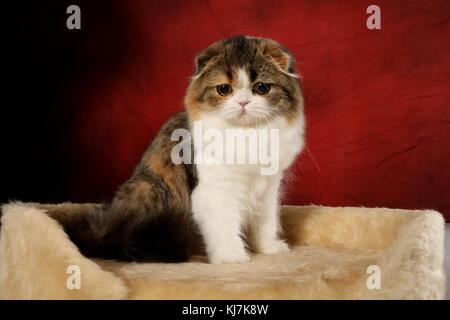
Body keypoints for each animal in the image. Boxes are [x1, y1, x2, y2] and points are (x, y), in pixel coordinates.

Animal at [48, 35, 306, 264]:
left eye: (261, 88)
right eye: (224, 89)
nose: (243, 102)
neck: (247, 133)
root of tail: (107, 228)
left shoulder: (268, 188)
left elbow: (266, 223)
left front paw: (268, 248)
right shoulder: (216, 190)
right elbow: (224, 227)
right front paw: (231, 257)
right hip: (150, 191)